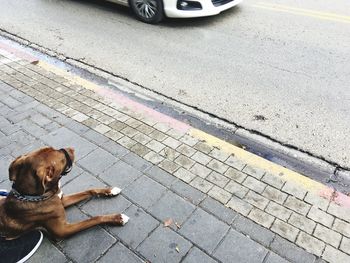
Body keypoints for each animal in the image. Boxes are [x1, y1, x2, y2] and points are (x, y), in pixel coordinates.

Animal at [0, 147, 129, 240]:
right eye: (63, 158)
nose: (72, 148)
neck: (33, 196)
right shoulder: (63, 230)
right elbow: (94, 218)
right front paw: (118, 218)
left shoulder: (62, 200)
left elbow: (89, 190)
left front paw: (110, 190)